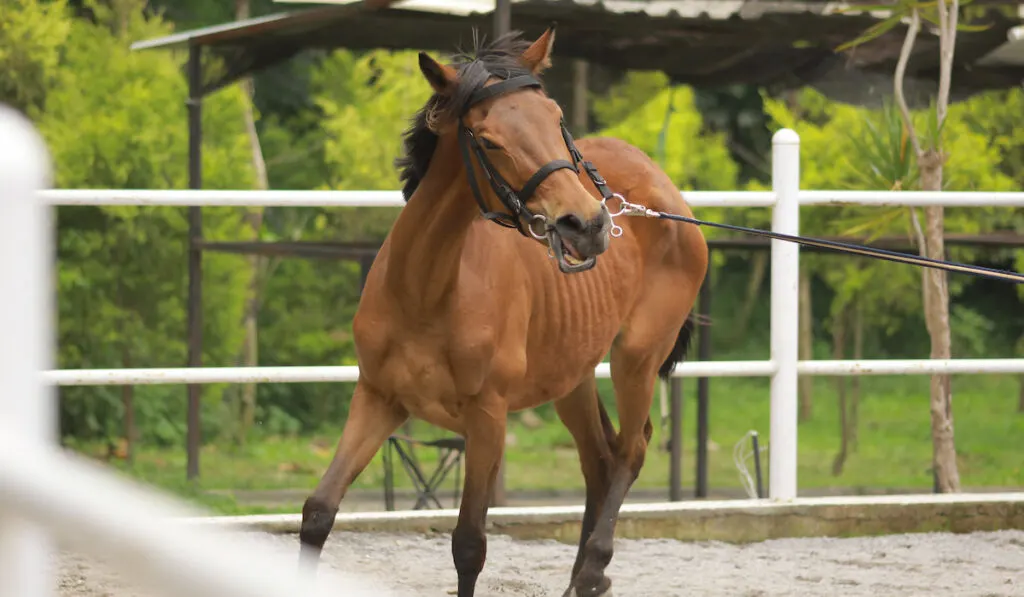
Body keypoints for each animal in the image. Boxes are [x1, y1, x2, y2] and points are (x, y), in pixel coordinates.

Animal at [299, 26, 704, 597]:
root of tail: (664, 194)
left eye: (557, 119)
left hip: (637, 358)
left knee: (631, 449)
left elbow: (469, 543)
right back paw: (582, 579)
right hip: (571, 375)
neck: (427, 290)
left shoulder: (487, 418)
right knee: (599, 459)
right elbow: (319, 511)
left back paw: (594, 568)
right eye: (489, 140)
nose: (587, 225)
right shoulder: (378, 398)